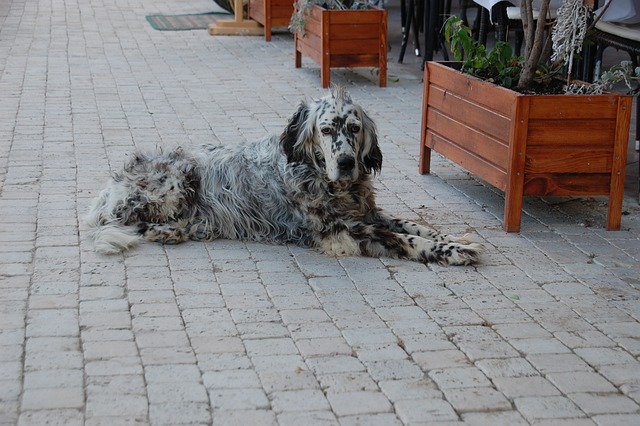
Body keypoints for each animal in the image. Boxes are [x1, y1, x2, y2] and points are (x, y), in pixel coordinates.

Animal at [86, 88, 484, 264]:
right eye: (326, 129)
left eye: (354, 129)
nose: (345, 162)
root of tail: (107, 189)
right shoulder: (339, 231)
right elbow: (403, 238)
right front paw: (451, 251)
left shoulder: (365, 212)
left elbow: (412, 224)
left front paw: (453, 238)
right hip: (179, 178)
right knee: (130, 223)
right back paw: (167, 230)